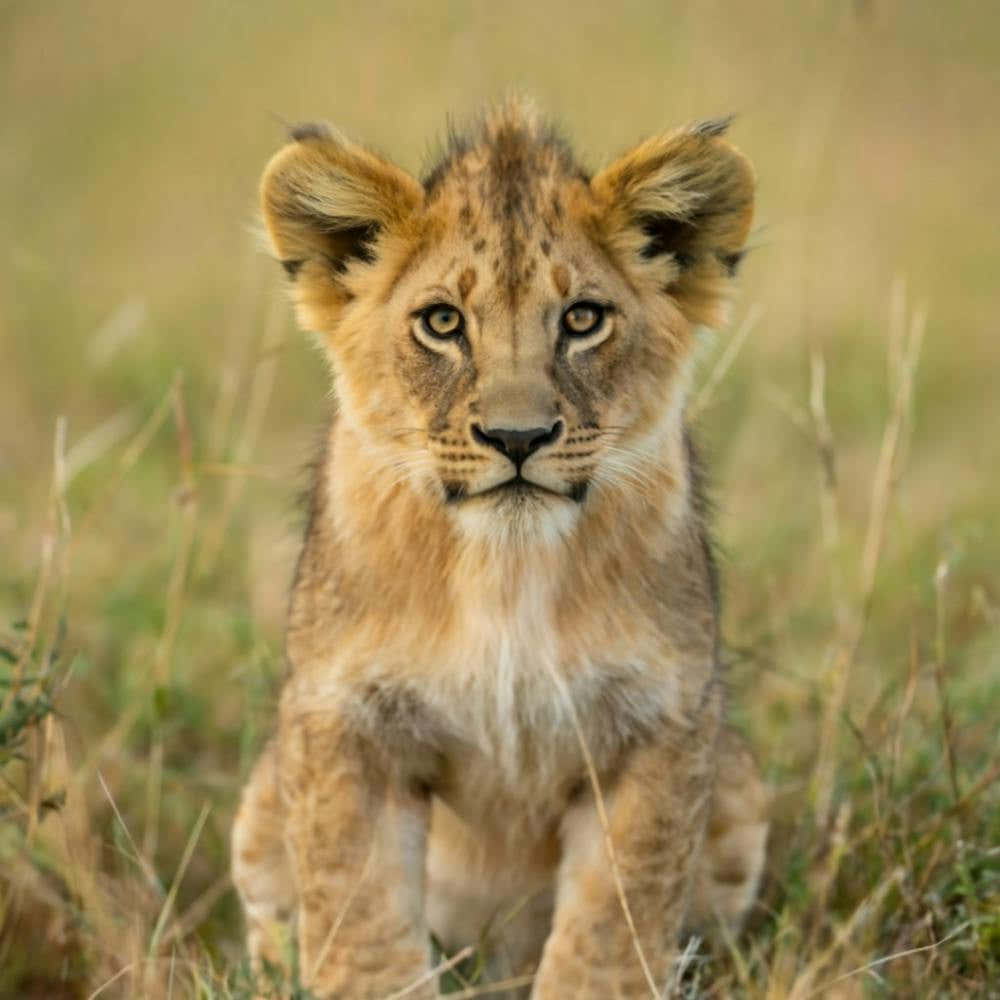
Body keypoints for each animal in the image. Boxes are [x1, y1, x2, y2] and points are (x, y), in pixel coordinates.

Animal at [231, 99, 768, 999]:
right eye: (442, 322)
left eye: (582, 319)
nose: (518, 438)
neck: (504, 569)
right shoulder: (344, 722)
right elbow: (359, 923)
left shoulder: (661, 725)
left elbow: (612, 928)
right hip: (263, 795)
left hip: (739, 789)